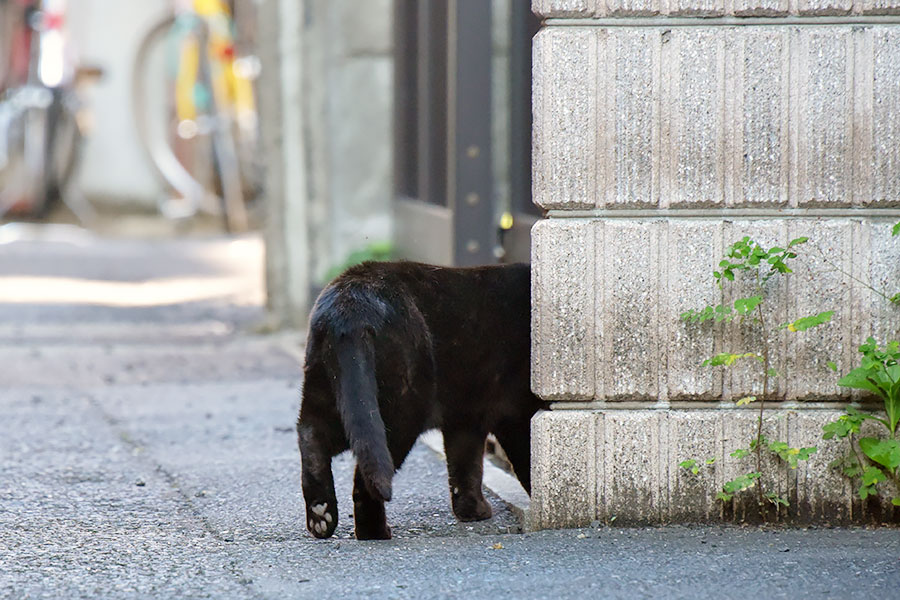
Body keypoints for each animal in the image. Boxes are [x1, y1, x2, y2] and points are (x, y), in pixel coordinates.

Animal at [298, 262, 544, 540]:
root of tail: (349, 303)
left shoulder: (465, 419)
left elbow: (465, 466)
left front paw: (472, 511)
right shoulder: (516, 414)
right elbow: (526, 462)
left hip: (328, 393)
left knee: (312, 436)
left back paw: (321, 516)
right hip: (400, 413)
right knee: (365, 478)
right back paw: (374, 532)